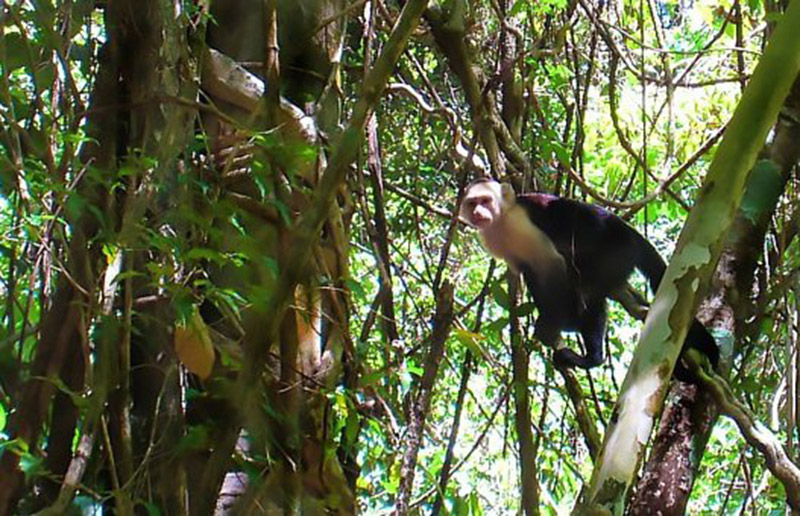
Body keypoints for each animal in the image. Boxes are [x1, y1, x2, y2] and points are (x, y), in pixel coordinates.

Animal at [459, 178, 719, 381]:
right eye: (473, 203)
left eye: (486, 200)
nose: (478, 213)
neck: (501, 221)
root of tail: (629, 231)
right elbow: (529, 272)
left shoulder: (521, 223)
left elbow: (551, 262)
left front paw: (553, 322)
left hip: (617, 250)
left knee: (587, 289)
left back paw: (592, 357)